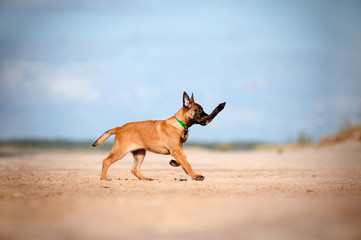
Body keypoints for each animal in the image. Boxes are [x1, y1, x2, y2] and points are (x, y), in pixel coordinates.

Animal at [91, 91, 224, 181]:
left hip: (140, 153)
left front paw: (174, 163)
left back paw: (145, 178)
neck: (179, 123)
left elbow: (184, 158)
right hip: (120, 151)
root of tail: (119, 128)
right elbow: (187, 163)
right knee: (106, 161)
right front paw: (195, 175)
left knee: (134, 169)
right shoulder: (175, 150)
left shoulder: (178, 149)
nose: (208, 117)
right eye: (199, 110)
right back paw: (104, 178)